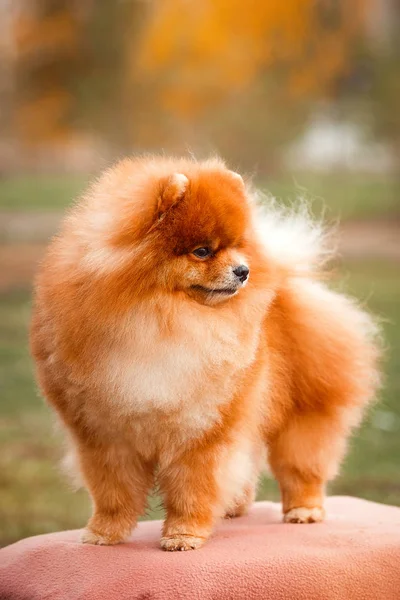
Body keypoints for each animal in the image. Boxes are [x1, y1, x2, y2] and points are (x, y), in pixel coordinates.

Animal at [30, 157, 382, 552]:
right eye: (202, 251)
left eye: (237, 247)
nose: (244, 270)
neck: (160, 321)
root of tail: (285, 281)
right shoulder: (103, 433)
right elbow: (112, 490)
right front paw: (104, 532)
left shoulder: (203, 425)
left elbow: (192, 485)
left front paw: (184, 534)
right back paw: (234, 508)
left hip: (302, 410)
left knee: (301, 462)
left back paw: (303, 509)